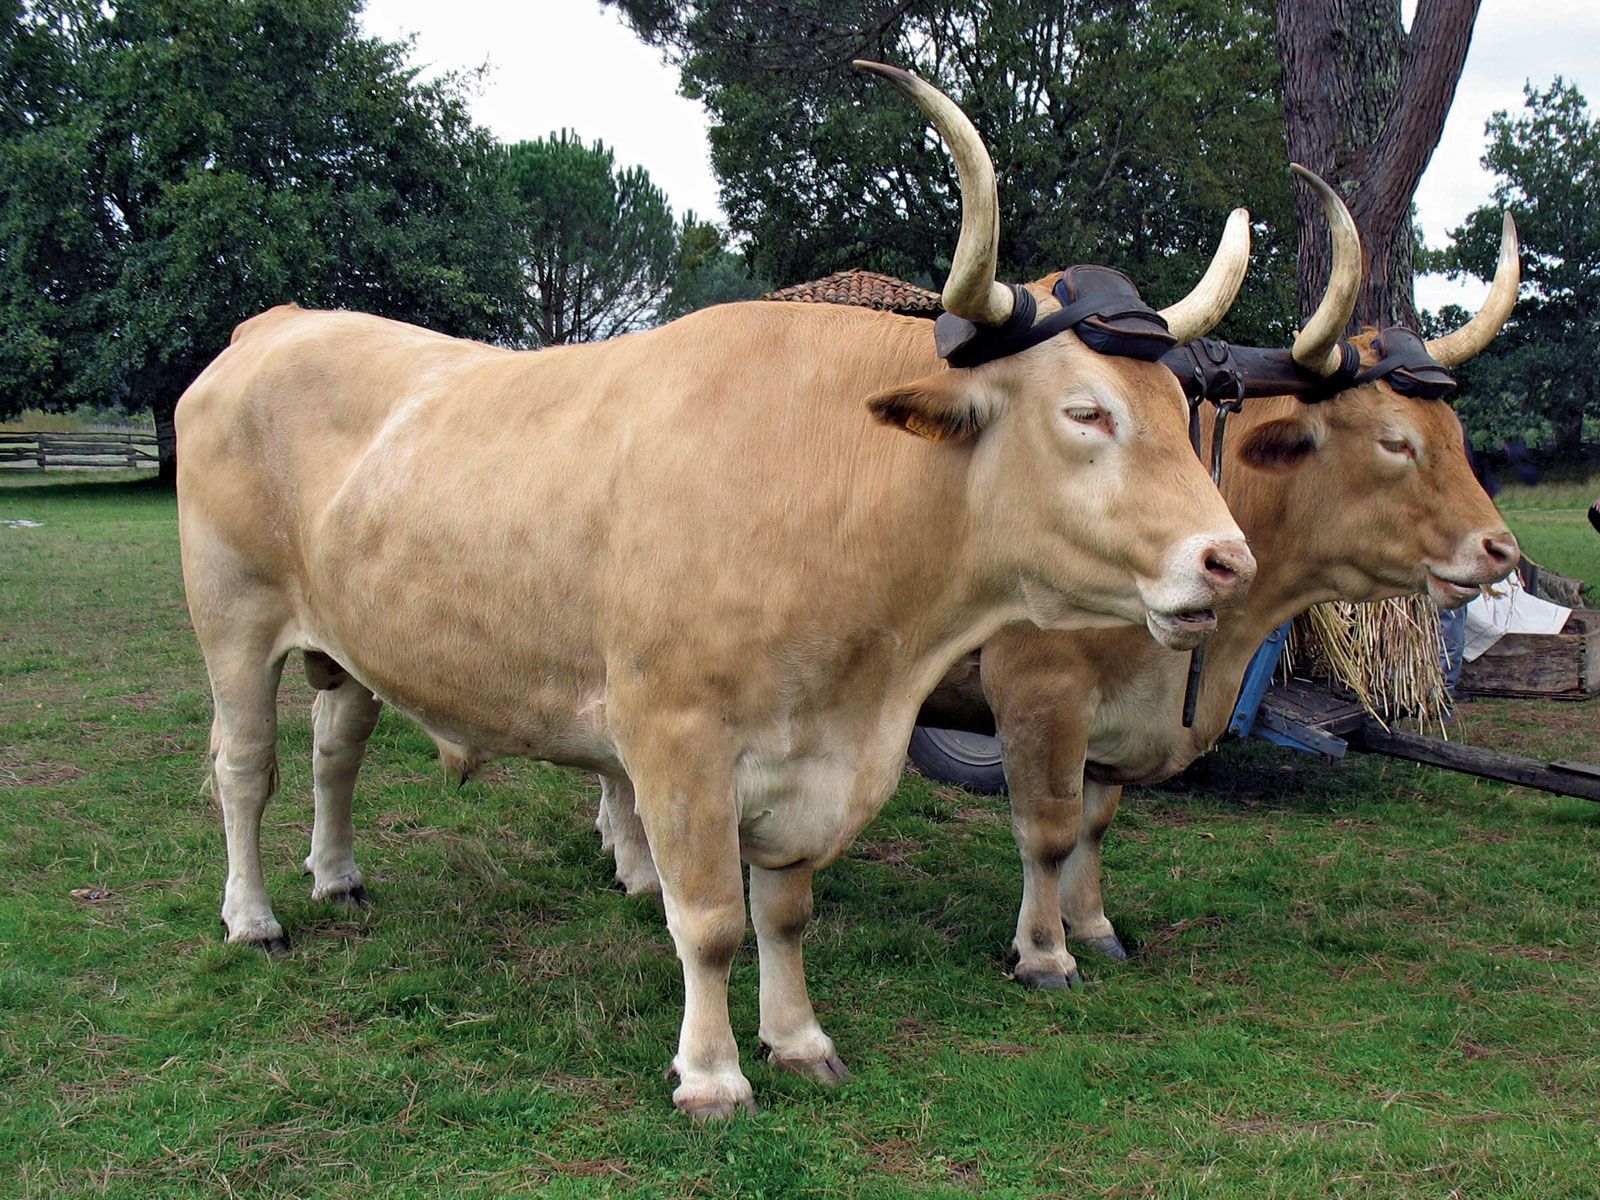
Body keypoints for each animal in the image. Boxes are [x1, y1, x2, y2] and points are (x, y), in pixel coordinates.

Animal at [176, 63, 1258, 1119]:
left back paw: (339, 877)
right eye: (1086, 411)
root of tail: (280, 323)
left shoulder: (813, 757)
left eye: (1179, 406)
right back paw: (254, 917)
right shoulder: (677, 742)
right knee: (246, 769)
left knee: (336, 753)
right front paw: (711, 1075)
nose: (1228, 559)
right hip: (232, 621)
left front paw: (799, 1038)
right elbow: (707, 922)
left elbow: (782, 911)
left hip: (347, 643)